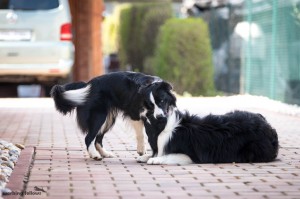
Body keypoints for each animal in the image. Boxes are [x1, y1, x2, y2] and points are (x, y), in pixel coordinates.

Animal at [138, 107, 278, 165]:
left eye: (150, 115)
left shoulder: (190, 156)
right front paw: (145, 157)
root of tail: (267, 125)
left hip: (254, 148)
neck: (165, 128)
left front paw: (155, 160)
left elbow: (168, 156)